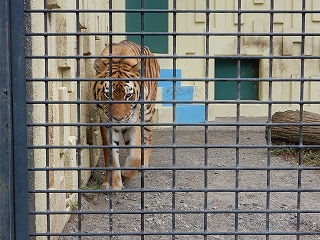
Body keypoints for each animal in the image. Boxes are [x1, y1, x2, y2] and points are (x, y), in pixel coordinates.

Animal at [92, 40, 159, 190]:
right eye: (108, 95)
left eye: (128, 96)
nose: (118, 119)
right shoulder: (106, 124)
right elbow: (111, 156)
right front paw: (113, 183)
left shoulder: (134, 121)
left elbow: (135, 157)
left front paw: (126, 175)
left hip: (147, 111)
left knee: (148, 138)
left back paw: (144, 164)